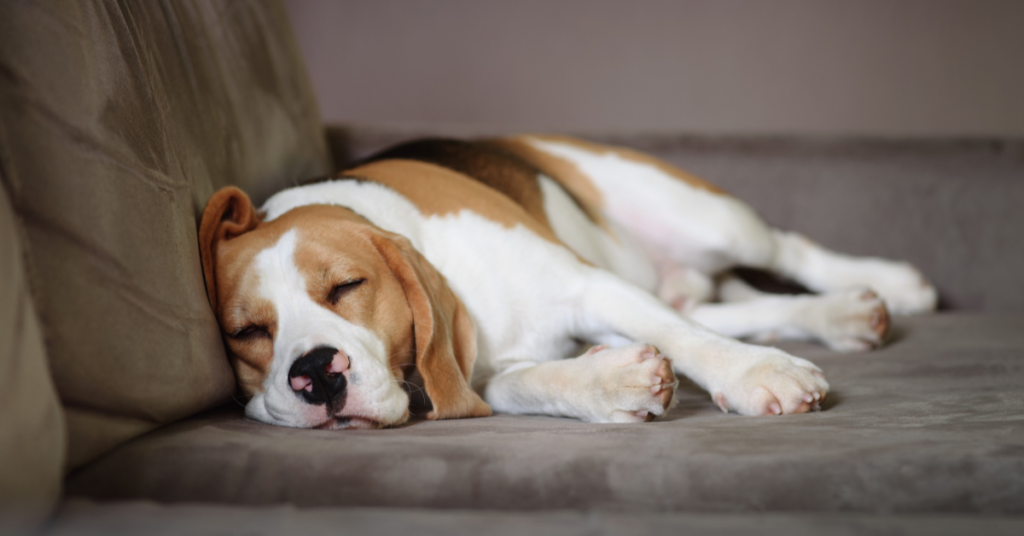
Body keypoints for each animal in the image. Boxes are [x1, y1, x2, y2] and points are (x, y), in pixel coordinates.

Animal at [197, 136, 937, 430]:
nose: (315, 375)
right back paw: (844, 315)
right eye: (246, 333)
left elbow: (682, 337)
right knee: (728, 308)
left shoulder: (588, 286)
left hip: (708, 219)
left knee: (785, 251)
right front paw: (608, 384)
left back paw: (890, 284)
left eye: (347, 287)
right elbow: (525, 383)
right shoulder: (486, 372)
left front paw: (759, 376)